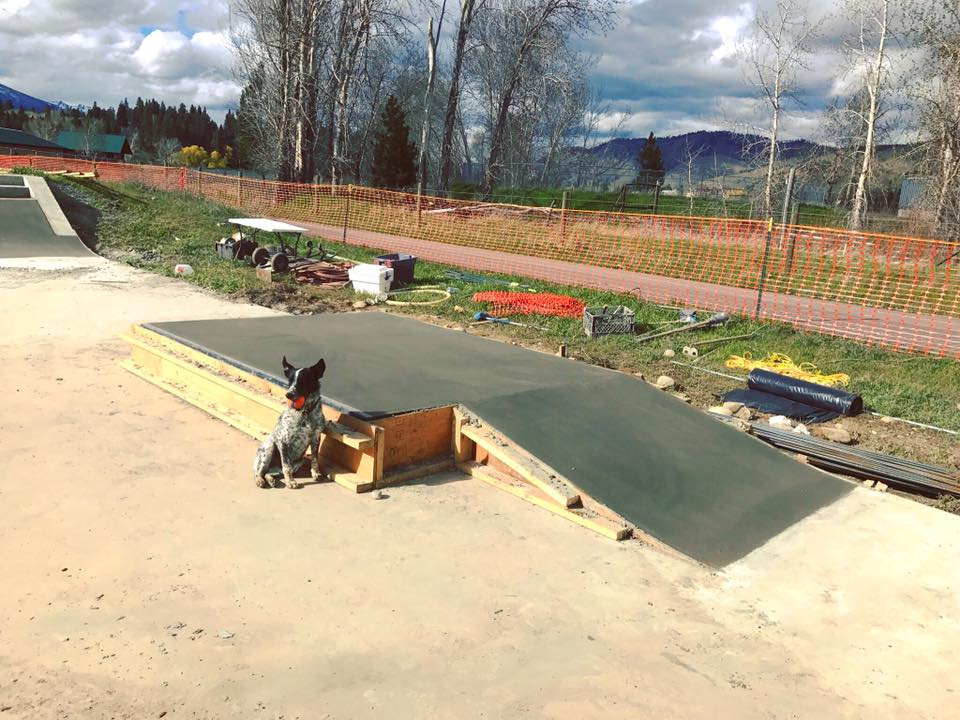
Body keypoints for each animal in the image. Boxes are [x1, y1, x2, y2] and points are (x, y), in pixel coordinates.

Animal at [253, 356, 328, 490]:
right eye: (290, 380)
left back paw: (271, 480)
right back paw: (260, 480)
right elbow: (286, 466)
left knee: (269, 472)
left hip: (298, 462)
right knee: (260, 471)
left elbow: (315, 459)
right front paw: (291, 482)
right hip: (268, 448)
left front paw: (316, 473)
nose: (288, 394)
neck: (305, 412)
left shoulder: (316, 438)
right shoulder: (284, 440)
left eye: (303, 380)